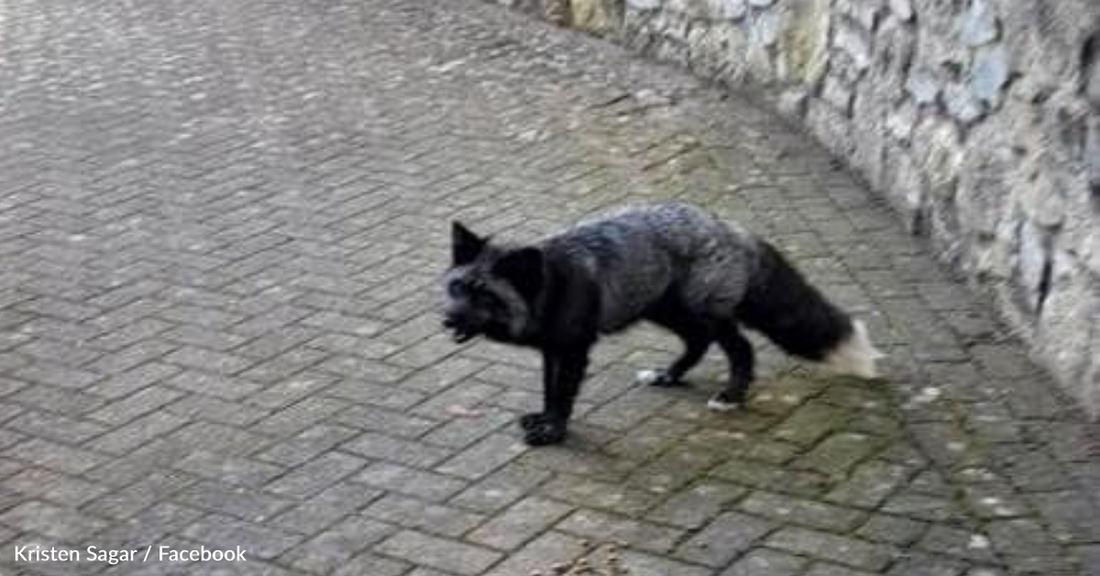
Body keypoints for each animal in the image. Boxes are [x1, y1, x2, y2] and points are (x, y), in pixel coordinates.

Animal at [442, 201, 880, 446]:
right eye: (458, 287)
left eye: (485, 296)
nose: (446, 319)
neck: (553, 285)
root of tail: (735, 230)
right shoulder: (553, 349)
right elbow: (550, 391)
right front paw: (545, 419)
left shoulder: (575, 349)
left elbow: (564, 395)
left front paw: (554, 434)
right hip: (663, 310)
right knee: (698, 343)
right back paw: (669, 376)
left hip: (702, 311)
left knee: (740, 347)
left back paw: (731, 396)